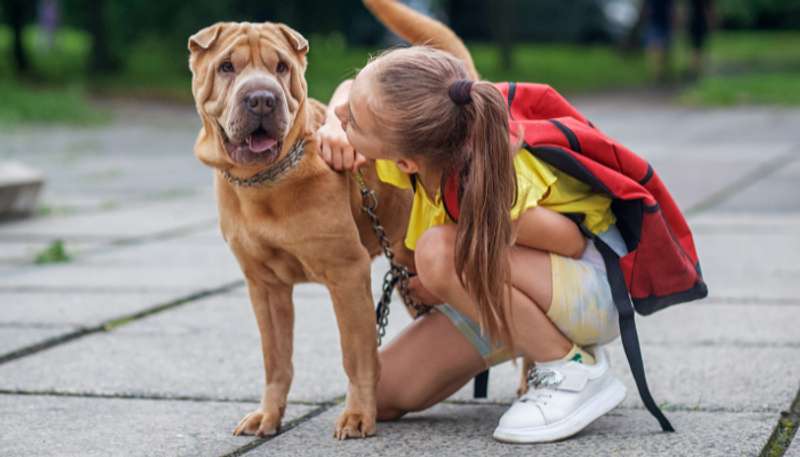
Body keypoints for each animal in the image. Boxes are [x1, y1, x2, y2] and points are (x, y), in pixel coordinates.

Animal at [185, 21, 416, 438]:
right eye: (226, 66)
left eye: (281, 67)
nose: (262, 99)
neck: (262, 182)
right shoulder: (264, 285)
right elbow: (276, 359)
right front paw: (268, 414)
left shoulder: (347, 272)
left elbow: (357, 355)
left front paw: (358, 415)